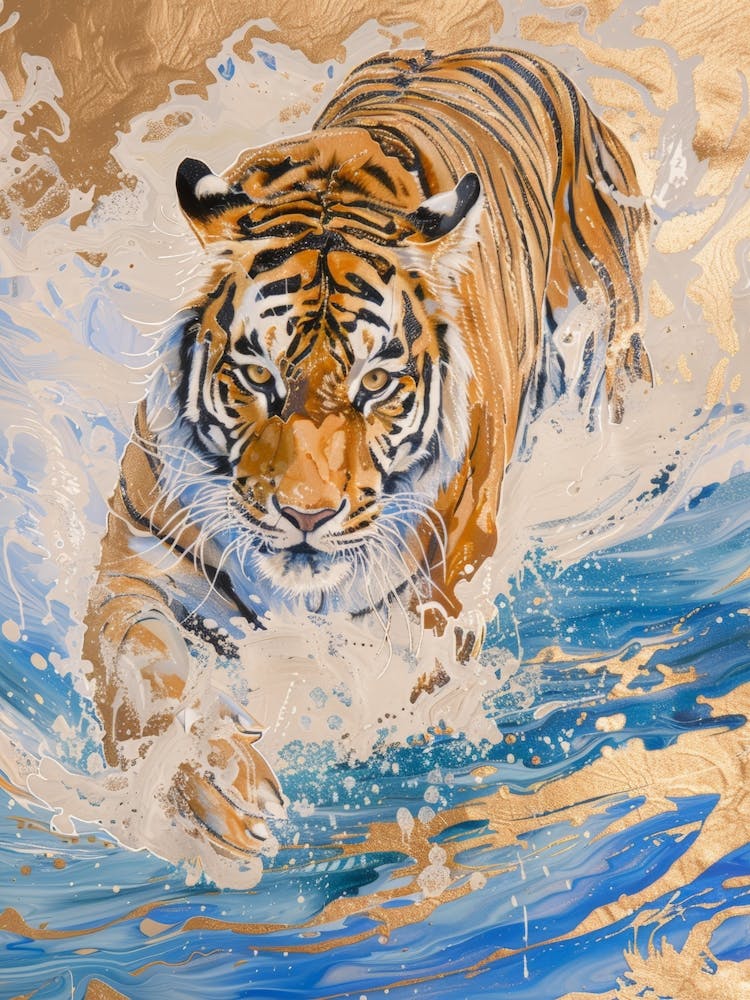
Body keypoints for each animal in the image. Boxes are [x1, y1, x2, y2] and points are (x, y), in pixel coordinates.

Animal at [84, 46, 651, 858]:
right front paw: (213, 787)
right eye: (258, 375)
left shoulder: (430, 599)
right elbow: (144, 671)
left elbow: (386, 695)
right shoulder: (140, 564)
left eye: (376, 382)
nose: (305, 516)